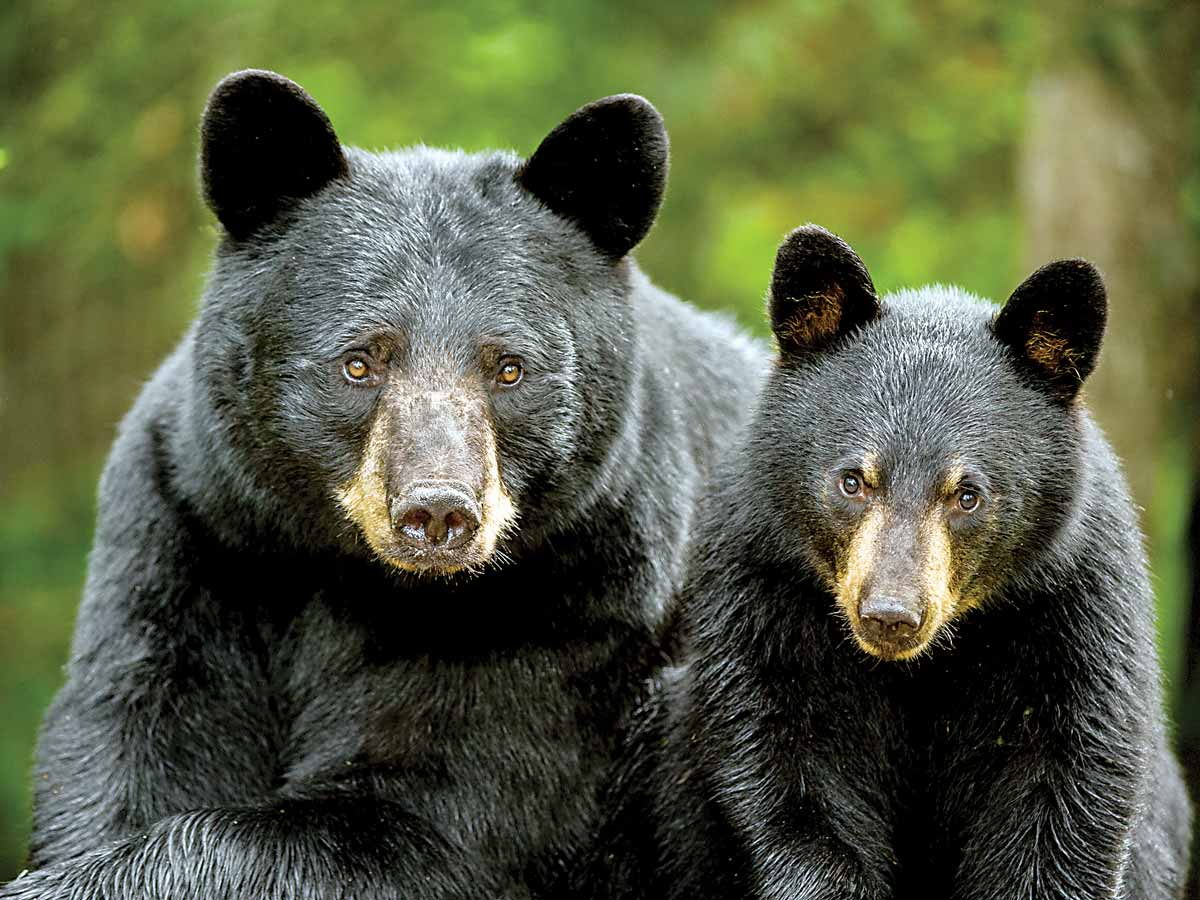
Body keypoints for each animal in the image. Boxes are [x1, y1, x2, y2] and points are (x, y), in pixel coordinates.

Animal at [0, 72, 763, 900]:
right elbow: (141, 732)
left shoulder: (579, 597)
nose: (438, 511)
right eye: (360, 361)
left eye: (509, 367)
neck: (357, 575)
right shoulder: (196, 529)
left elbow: (425, 814)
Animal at [578, 225, 1190, 900]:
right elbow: (791, 771)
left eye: (967, 494)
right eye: (853, 480)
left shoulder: (1067, 610)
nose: (890, 615)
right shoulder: (767, 590)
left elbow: (1061, 795)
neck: (920, 668)